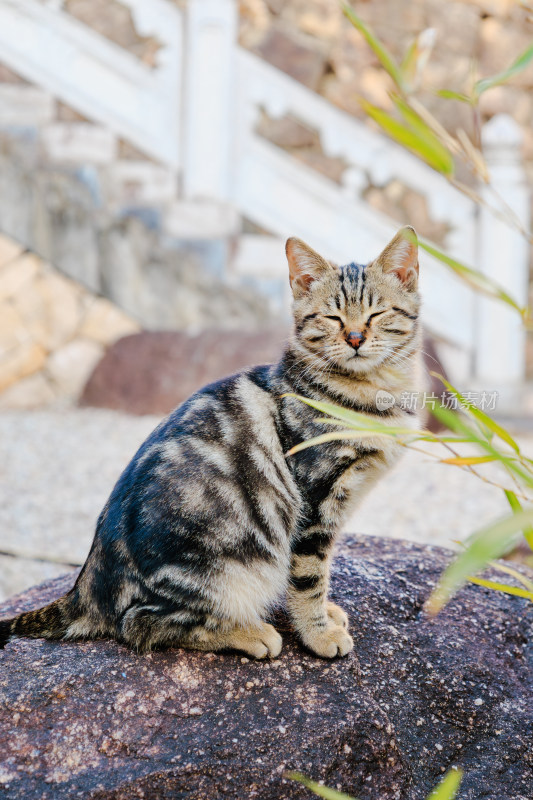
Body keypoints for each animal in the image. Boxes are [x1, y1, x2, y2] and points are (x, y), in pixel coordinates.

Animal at [0, 223, 420, 656]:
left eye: (377, 312)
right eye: (332, 316)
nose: (354, 337)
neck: (371, 394)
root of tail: (85, 585)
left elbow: (314, 574)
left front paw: (326, 616)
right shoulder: (315, 500)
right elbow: (308, 577)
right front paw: (319, 634)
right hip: (225, 564)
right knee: (141, 624)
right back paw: (250, 632)